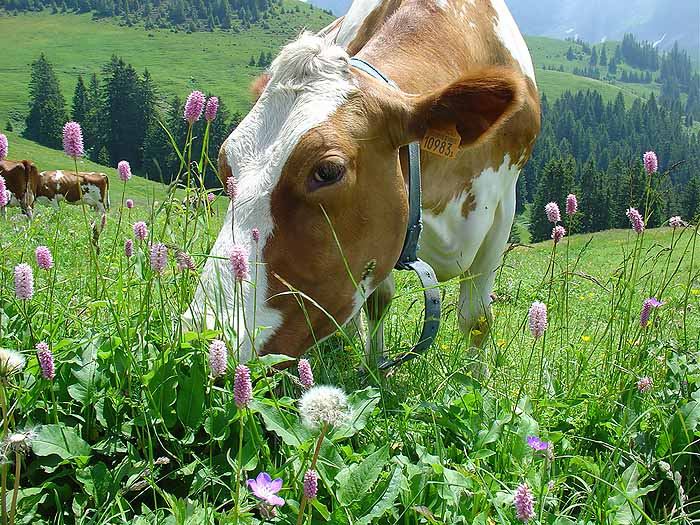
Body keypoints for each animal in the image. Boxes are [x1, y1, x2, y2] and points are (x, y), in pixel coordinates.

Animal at [183, 0, 540, 364]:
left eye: (328, 171)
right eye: (226, 165)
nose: (204, 336)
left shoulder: (503, 208)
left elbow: (477, 319)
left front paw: (474, 375)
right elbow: (378, 302)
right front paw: (373, 365)